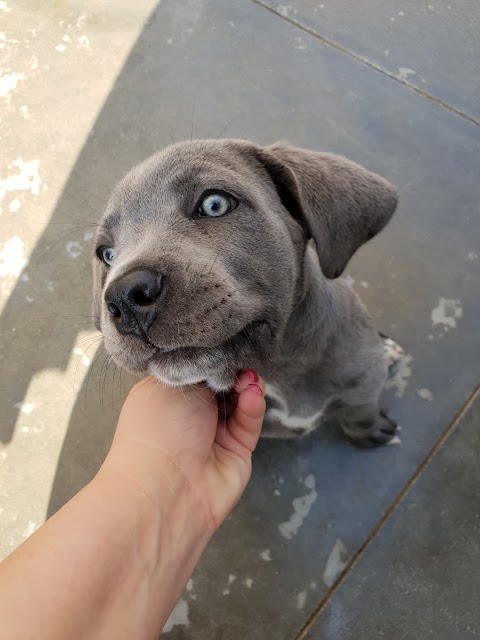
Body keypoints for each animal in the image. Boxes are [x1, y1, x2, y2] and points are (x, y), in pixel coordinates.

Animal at [92, 139, 400, 444]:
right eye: (107, 254)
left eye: (215, 204)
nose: (125, 298)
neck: (276, 366)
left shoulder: (364, 385)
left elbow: (361, 416)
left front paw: (373, 433)